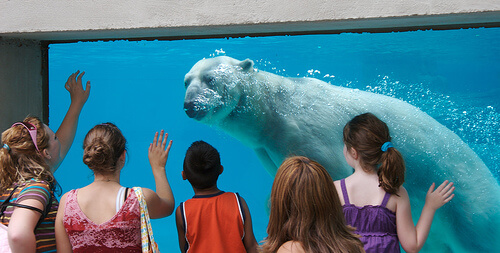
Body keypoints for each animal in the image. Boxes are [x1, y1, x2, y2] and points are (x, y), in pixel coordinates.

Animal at [184, 56, 500, 252]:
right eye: (186, 80)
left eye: (210, 79)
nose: (190, 105)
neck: (274, 107)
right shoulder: (267, 148)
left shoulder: (304, 131)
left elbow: (333, 175)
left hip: (470, 203)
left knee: (476, 236)